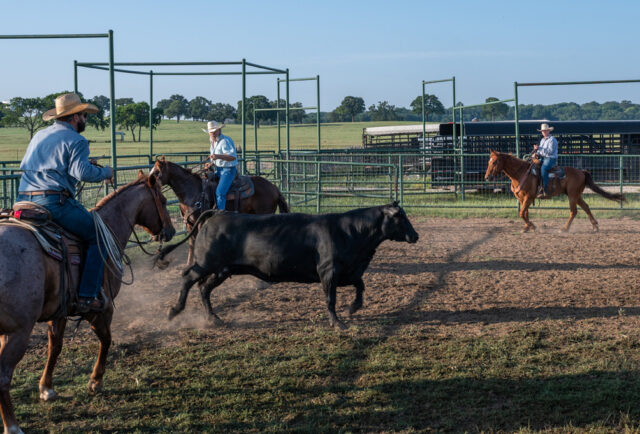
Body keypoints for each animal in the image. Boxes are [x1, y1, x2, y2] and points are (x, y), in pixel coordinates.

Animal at [0, 171, 175, 432]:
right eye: (163, 202)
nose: (171, 231)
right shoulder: (102, 309)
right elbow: (106, 340)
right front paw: (95, 381)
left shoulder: (60, 312)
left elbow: (55, 346)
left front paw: (46, 388)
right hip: (17, 331)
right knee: (3, 375)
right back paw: (12, 425)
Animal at [150, 157, 290, 264]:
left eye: (156, 172)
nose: (148, 183)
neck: (193, 191)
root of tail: (274, 188)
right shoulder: (189, 224)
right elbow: (191, 244)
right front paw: (189, 264)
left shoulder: (200, 221)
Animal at [156, 202, 420, 328]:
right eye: (401, 217)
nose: (415, 235)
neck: (350, 231)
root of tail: (218, 213)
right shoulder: (328, 271)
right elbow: (330, 299)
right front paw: (338, 323)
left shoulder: (348, 271)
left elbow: (360, 285)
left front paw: (353, 308)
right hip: (206, 262)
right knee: (188, 278)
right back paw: (174, 310)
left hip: (223, 269)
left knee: (204, 288)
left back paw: (214, 319)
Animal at [484, 152, 624, 234]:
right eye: (488, 161)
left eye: (495, 162)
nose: (487, 177)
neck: (520, 173)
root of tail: (581, 172)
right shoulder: (521, 198)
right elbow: (524, 212)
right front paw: (527, 227)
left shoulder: (529, 197)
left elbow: (522, 213)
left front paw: (532, 226)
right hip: (576, 195)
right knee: (586, 207)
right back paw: (595, 227)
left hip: (572, 196)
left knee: (574, 211)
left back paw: (565, 229)